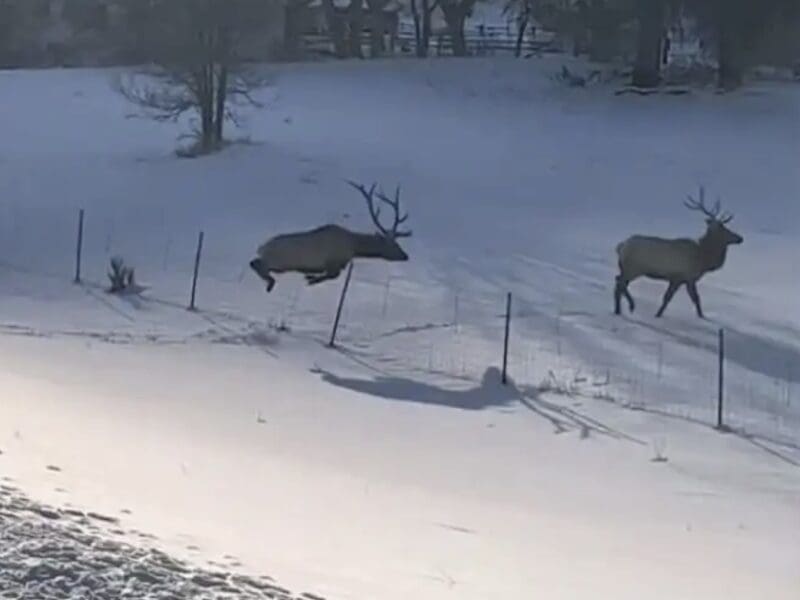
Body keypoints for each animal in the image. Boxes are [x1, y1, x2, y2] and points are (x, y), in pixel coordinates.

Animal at [249, 180, 411, 293]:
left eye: (398, 244)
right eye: (394, 245)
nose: (406, 256)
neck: (353, 246)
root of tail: (261, 247)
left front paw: (310, 277)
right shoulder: (332, 261)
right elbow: (333, 275)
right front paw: (311, 279)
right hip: (278, 261)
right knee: (256, 263)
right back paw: (270, 283)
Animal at [614, 186, 743, 319]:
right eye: (723, 228)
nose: (740, 238)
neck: (703, 258)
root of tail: (621, 246)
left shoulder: (684, 279)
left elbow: (693, 298)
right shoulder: (682, 277)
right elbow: (677, 298)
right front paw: (658, 315)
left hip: (627, 268)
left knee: (618, 282)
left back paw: (618, 310)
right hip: (634, 268)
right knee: (620, 284)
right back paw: (630, 306)